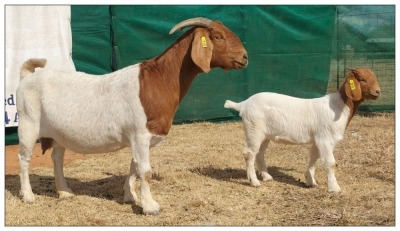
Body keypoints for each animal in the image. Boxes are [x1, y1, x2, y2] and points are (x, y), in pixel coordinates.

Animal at [18, 17, 247, 215]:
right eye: (217, 36)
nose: (245, 57)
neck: (159, 80)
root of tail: (26, 77)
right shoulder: (140, 134)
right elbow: (145, 171)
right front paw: (150, 206)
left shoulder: (139, 138)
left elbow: (134, 166)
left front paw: (130, 197)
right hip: (28, 124)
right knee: (24, 158)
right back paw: (28, 196)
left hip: (57, 133)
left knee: (57, 158)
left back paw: (65, 192)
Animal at [225, 67, 382, 193]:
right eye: (362, 79)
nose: (378, 91)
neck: (338, 107)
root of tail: (243, 104)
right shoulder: (325, 139)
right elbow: (330, 163)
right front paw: (334, 188)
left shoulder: (317, 139)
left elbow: (313, 158)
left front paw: (310, 181)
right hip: (254, 129)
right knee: (249, 153)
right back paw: (254, 182)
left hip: (264, 135)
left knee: (259, 153)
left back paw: (267, 177)